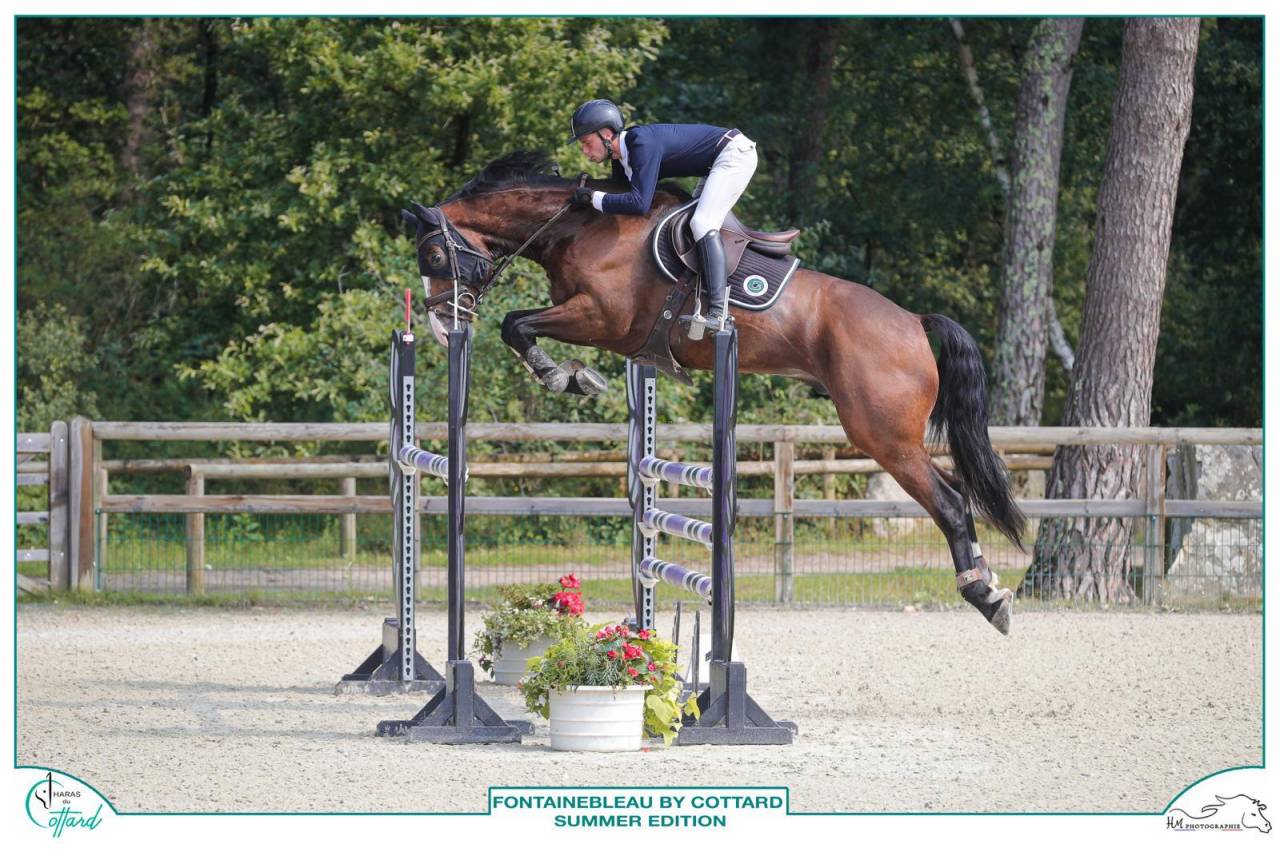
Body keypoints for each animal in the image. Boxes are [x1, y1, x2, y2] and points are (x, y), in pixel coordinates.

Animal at [403, 151, 1025, 635]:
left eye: (433, 255)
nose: (439, 324)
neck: (578, 227)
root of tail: (915, 322)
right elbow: (519, 326)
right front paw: (569, 376)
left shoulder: (602, 318)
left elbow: (516, 324)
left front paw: (567, 377)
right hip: (891, 435)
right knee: (954, 493)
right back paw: (988, 586)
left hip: (883, 435)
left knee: (949, 502)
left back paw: (985, 595)